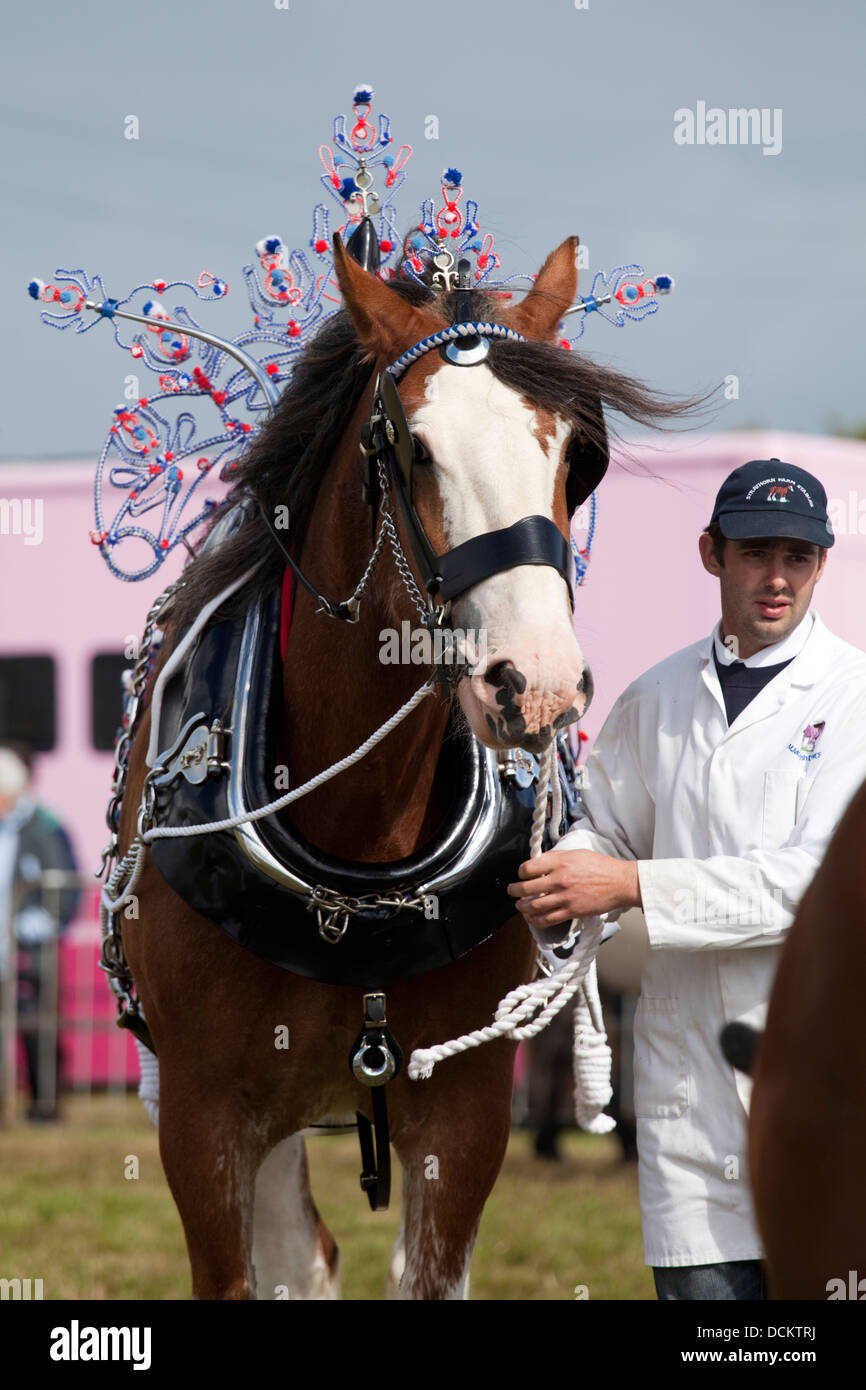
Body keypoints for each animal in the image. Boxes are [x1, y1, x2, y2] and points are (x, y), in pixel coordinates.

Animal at [115, 233, 689, 1300]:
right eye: (414, 449)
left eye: (575, 456)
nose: (536, 685)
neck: (363, 860)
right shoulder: (203, 1121)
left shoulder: (462, 1123)